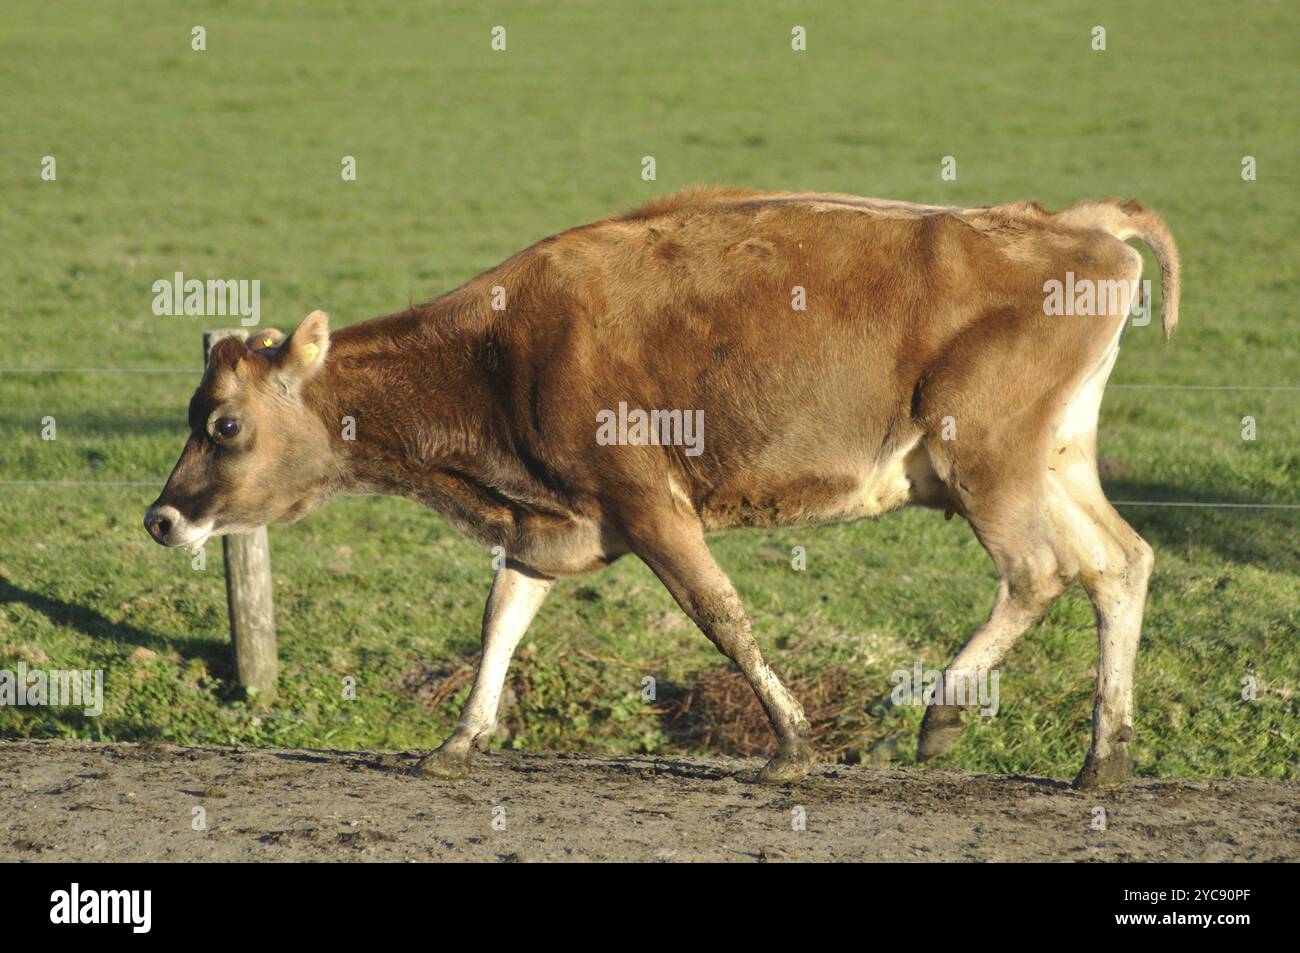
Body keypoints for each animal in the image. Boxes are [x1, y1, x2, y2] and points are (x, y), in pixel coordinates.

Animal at [144, 187, 1180, 790]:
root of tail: (1067, 223)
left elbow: (720, 612)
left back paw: (940, 717)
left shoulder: (647, 501)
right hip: (1055, 457)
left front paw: (794, 744)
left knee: (1039, 572)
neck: (498, 356)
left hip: (989, 458)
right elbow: (499, 620)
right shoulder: (548, 520)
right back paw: (1104, 758)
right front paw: (459, 741)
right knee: (1119, 563)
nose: (160, 517)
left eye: (223, 423)